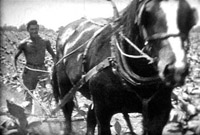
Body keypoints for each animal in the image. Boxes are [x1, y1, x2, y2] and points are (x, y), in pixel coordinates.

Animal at [52, 0, 198, 134]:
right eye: (146, 14)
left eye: (190, 16)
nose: (176, 69)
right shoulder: (103, 111)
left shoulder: (159, 113)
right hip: (65, 84)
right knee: (68, 109)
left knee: (90, 116)